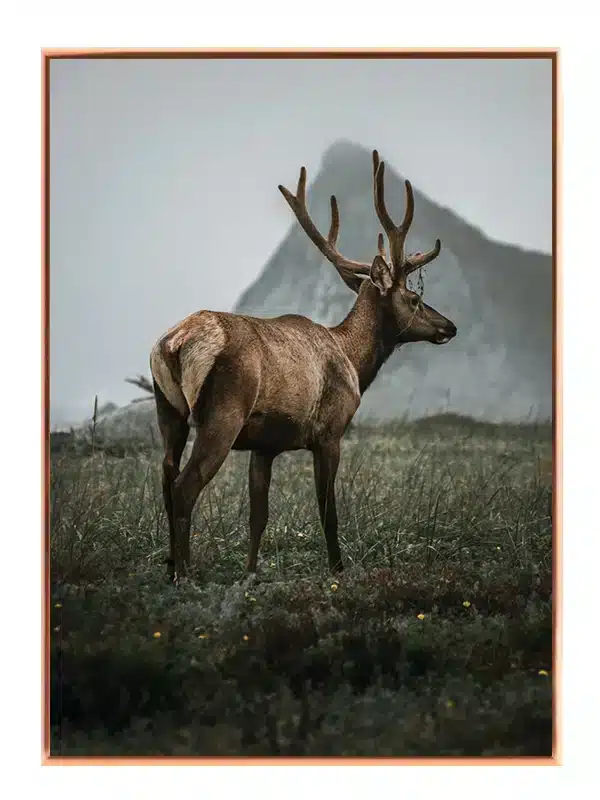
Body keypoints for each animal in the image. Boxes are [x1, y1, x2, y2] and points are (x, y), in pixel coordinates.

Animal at [150, 150, 457, 583]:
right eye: (415, 299)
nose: (450, 326)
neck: (353, 361)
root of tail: (174, 343)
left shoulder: (264, 446)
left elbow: (258, 515)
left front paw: (250, 573)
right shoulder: (329, 431)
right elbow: (328, 509)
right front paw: (338, 569)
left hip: (168, 409)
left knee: (165, 476)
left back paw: (171, 567)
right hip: (222, 414)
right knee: (184, 487)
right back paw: (186, 575)